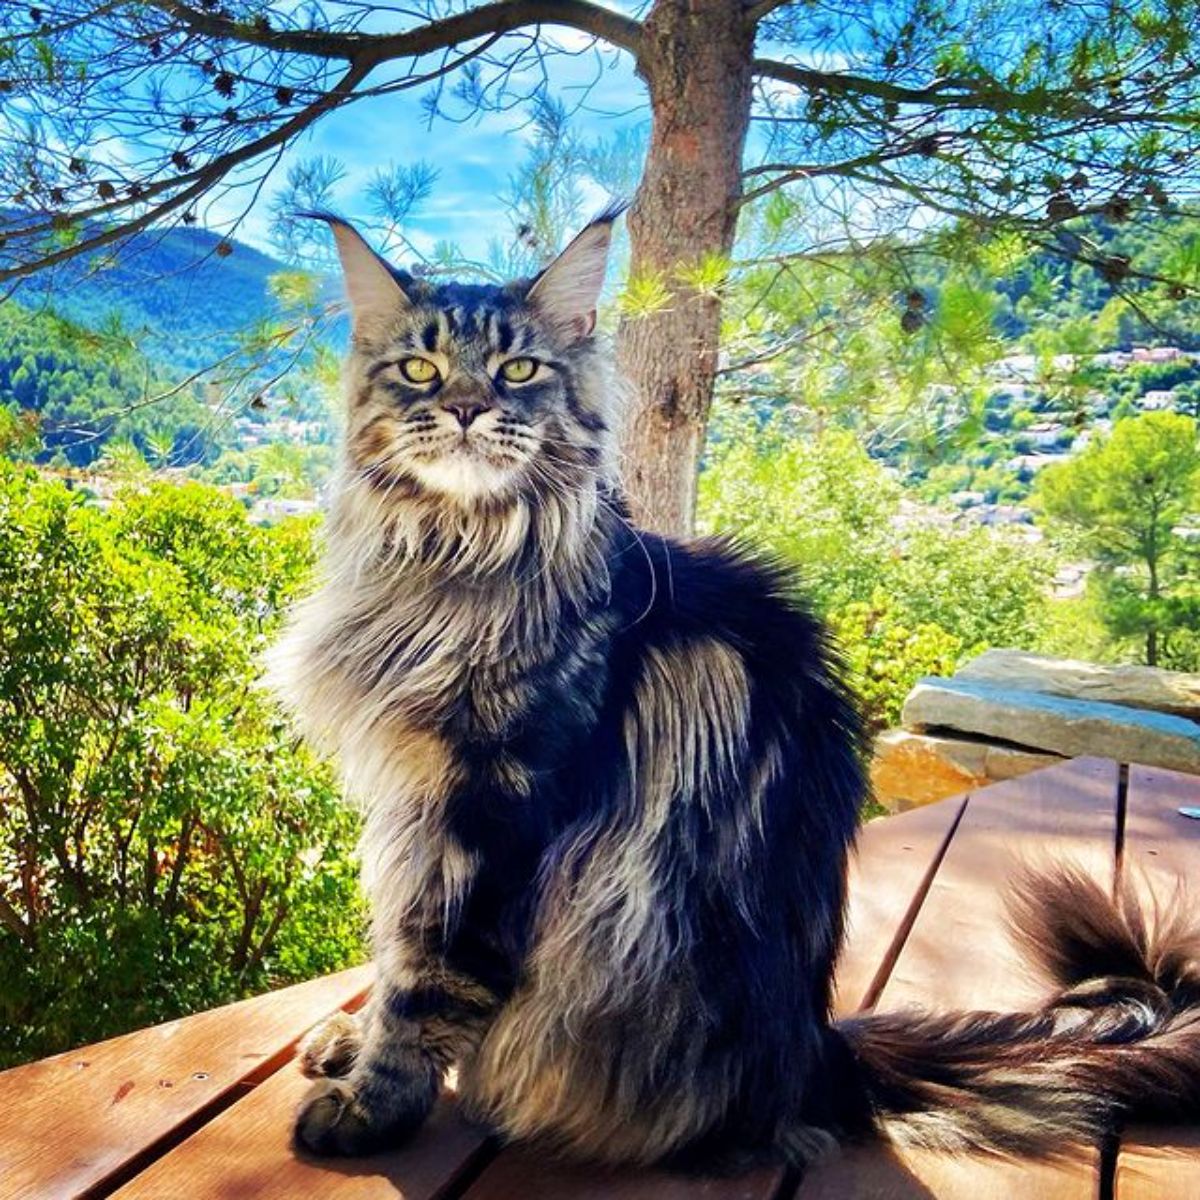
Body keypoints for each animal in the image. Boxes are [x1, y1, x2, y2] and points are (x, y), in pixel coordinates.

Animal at [270, 208, 1200, 1171]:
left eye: (517, 370)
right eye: (419, 369)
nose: (461, 408)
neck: (450, 555)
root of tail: (820, 1054)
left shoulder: (494, 807)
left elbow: (427, 976)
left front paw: (374, 1103)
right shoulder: (417, 810)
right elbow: (395, 951)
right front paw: (354, 1043)